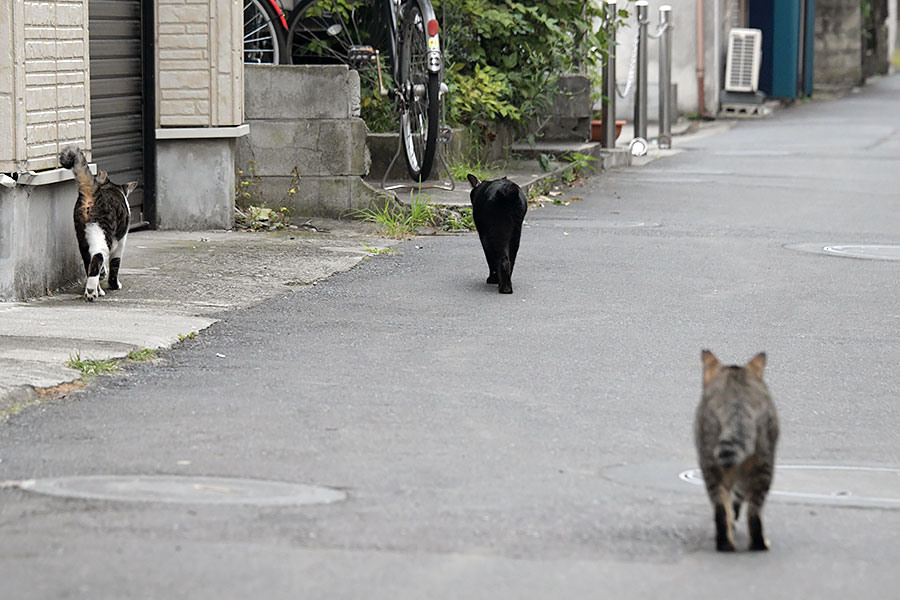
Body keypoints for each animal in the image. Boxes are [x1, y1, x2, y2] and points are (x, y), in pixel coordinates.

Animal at [59, 148, 138, 302]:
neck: (112, 188)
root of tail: (93, 192)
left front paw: (103, 274)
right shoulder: (120, 242)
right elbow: (115, 265)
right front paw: (115, 285)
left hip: (82, 239)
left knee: (88, 263)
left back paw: (97, 289)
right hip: (103, 234)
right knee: (98, 257)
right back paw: (91, 292)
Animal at [696, 352, 780, 552]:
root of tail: (737, 405)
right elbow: (736, 501)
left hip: (712, 463)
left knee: (721, 508)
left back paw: (727, 544)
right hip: (763, 462)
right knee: (751, 512)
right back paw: (757, 544)